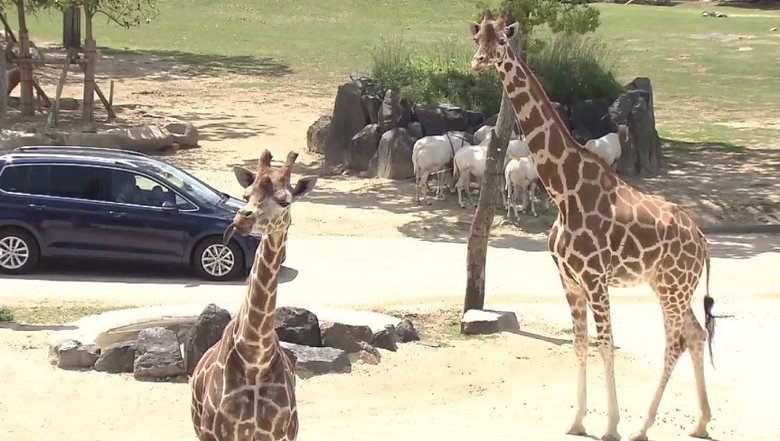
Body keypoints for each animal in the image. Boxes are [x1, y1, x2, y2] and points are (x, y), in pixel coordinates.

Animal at [190, 149, 316, 440]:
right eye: (246, 194)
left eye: (285, 201)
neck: (255, 359)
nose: (240, 219)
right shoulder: (218, 434)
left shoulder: (282, 435)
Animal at [470, 9, 720, 440]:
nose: (478, 62)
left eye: (501, 40)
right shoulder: (569, 280)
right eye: (476, 39)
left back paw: (642, 426)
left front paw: (612, 425)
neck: (563, 191)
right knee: (695, 333)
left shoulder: (595, 277)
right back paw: (700, 422)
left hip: (673, 287)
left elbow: (606, 344)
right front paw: (576, 420)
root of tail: (703, 242)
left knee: (674, 340)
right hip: (669, 285)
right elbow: (579, 344)